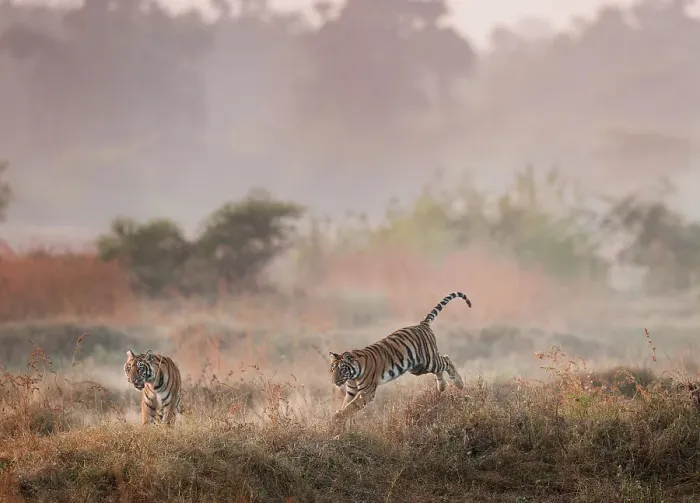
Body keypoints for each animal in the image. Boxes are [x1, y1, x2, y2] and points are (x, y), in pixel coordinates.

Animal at [328, 291, 472, 426]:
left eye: (342, 369)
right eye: (333, 369)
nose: (334, 381)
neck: (353, 374)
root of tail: (422, 324)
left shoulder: (366, 392)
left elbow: (351, 407)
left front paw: (336, 419)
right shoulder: (351, 391)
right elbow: (346, 405)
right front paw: (342, 421)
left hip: (428, 361)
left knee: (446, 360)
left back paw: (459, 383)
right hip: (419, 368)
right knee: (440, 365)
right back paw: (442, 387)